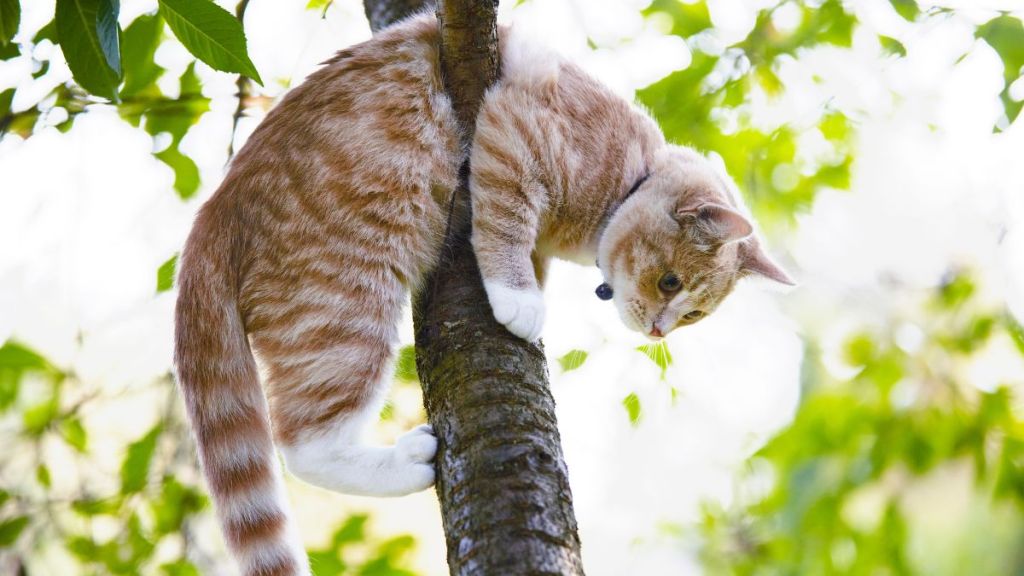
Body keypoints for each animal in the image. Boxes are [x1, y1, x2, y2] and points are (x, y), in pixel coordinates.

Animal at [172, 8, 790, 573]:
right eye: (670, 282)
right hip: (347, 306)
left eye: (694, 315)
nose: (660, 330)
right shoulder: (516, 136)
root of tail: (214, 210)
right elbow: (505, 223)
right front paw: (517, 296)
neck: (632, 171)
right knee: (303, 445)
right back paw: (402, 461)